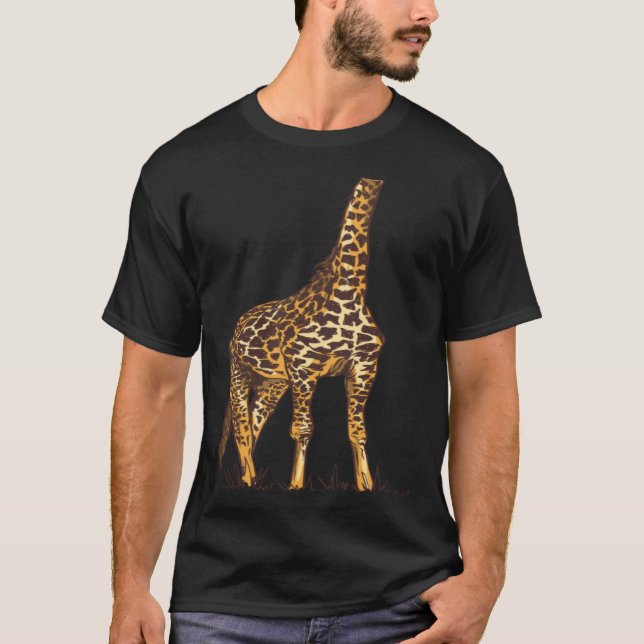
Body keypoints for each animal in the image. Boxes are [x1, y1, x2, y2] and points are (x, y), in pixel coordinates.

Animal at [218, 177, 386, 491]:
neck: (349, 291)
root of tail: (241, 320)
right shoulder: (303, 366)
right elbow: (303, 428)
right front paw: (295, 487)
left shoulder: (364, 365)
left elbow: (357, 430)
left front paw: (366, 487)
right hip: (239, 370)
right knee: (240, 422)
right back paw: (248, 481)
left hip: (274, 383)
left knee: (254, 421)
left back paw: (251, 479)